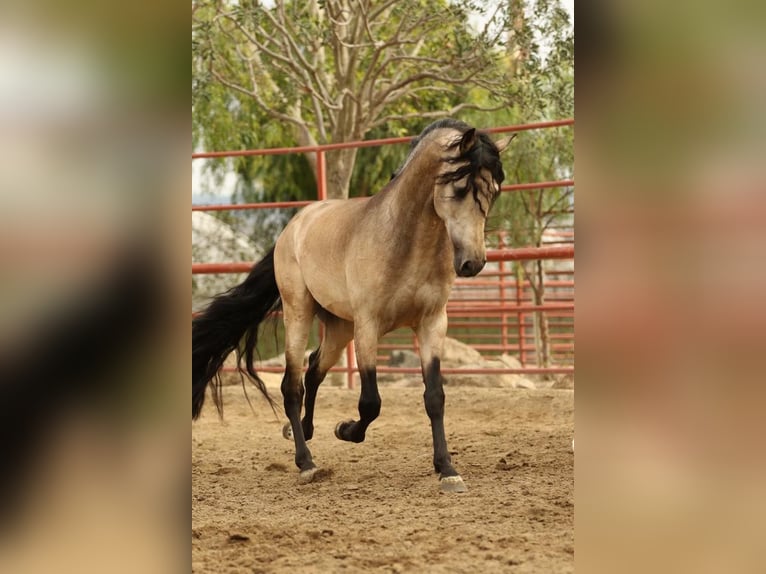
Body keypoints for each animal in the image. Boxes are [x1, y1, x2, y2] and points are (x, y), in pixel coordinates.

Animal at [192, 118, 512, 496]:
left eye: (494, 191)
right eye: (461, 188)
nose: (472, 263)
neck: (404, 242)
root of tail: (293, 226)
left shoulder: (432, 324)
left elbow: (435, 397)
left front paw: (447, 469)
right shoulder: (368, 326)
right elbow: (371, 402)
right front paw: (345, 430)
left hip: (338, 327)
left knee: (314, 370)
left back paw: (305, 431)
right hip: (299, 313)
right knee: (292, 385)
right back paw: (306, 463)